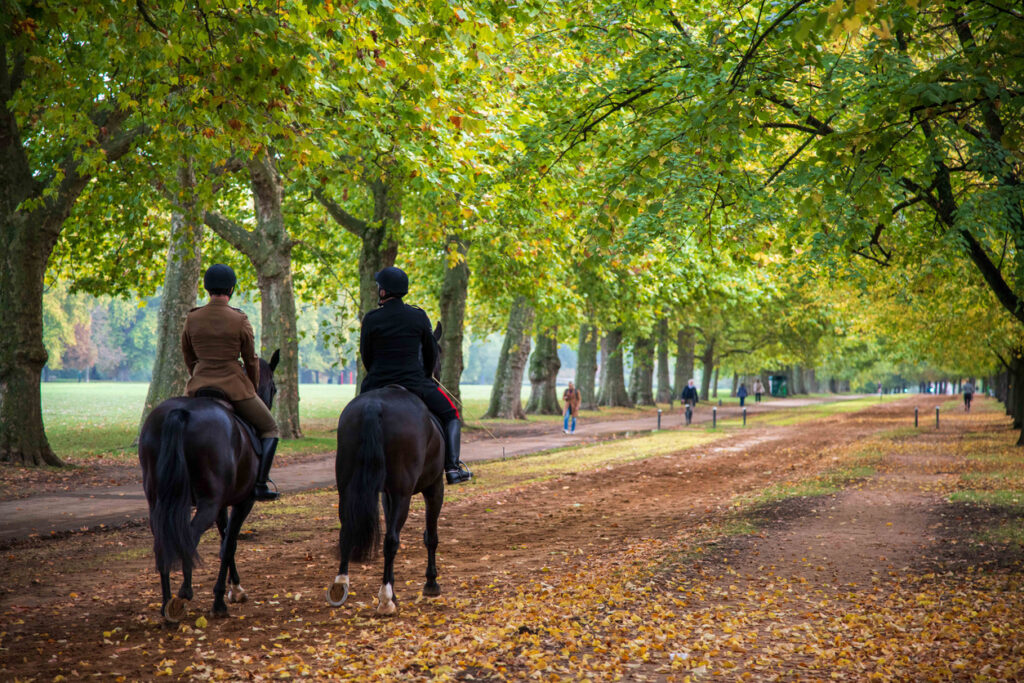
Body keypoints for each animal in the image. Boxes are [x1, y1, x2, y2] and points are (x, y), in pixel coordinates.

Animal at [136, 350, 282, 622]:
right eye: (275, 388)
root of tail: (181, 413)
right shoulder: (242, 502)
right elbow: (229, 544)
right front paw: (221, 599)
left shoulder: (222, 505)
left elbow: (226, 538)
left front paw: (234, 589)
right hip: (208, 504)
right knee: (188, 538)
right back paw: (183, 594)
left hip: (159, 502)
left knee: (163, 543)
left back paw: (166, 605)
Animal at [325, 323, 442, 618]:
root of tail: (373, 405)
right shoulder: (434, 487)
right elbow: (430, 536)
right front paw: (431, 583)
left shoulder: (387, 494)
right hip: (404, 491)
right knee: (391, 540)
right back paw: (386, 599)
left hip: (347, 485)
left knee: (347, 529)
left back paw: (341, 584)